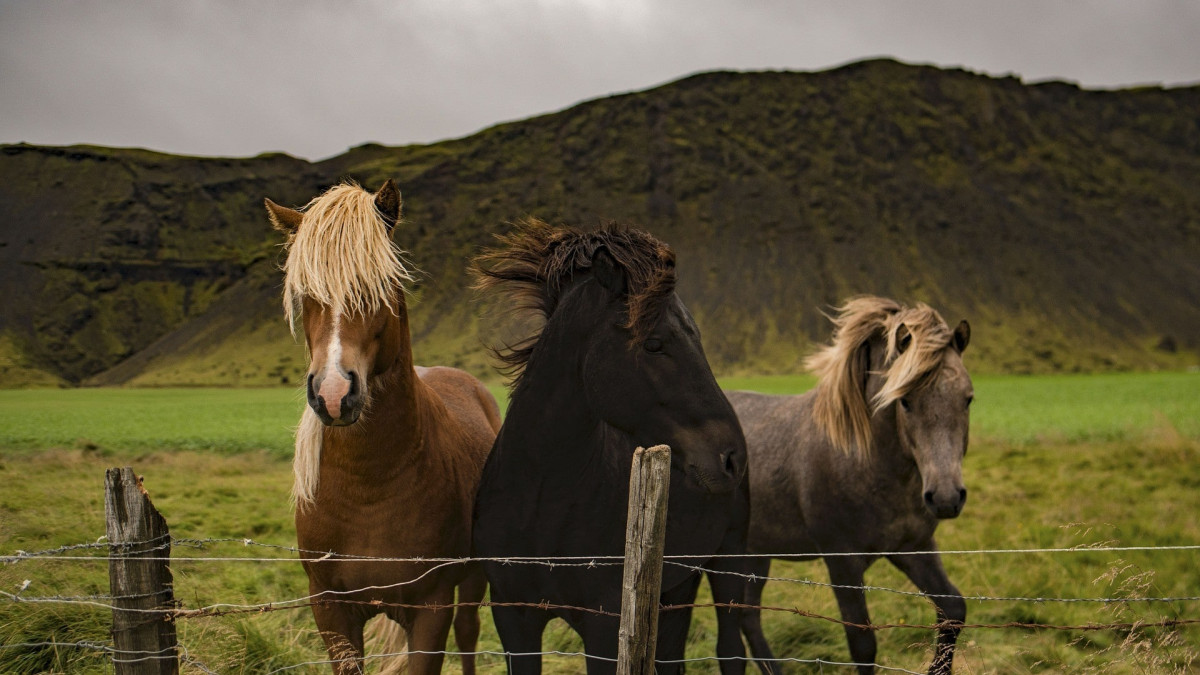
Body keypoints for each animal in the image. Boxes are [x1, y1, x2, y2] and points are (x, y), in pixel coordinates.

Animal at [267, 180, 501, 672]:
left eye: (380, 286)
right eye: (305, 293)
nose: (333, 393)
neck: (369, 486)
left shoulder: (432, 606)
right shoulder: (330, 609)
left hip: (472, 580)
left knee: (469, 634)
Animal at [470, 218, 744, 667]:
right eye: (654, 343)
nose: (732, 458)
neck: (542, 501)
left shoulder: (603, 625)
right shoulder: (513, 618)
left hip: (728, 571)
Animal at [720, 295, 974, 672]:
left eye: (967, 398)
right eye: (905, 401)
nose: (945, 497)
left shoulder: (914, 547)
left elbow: (953, 608)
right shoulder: (842, 561)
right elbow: (862, 643)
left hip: (755, 553)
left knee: (748, 614)